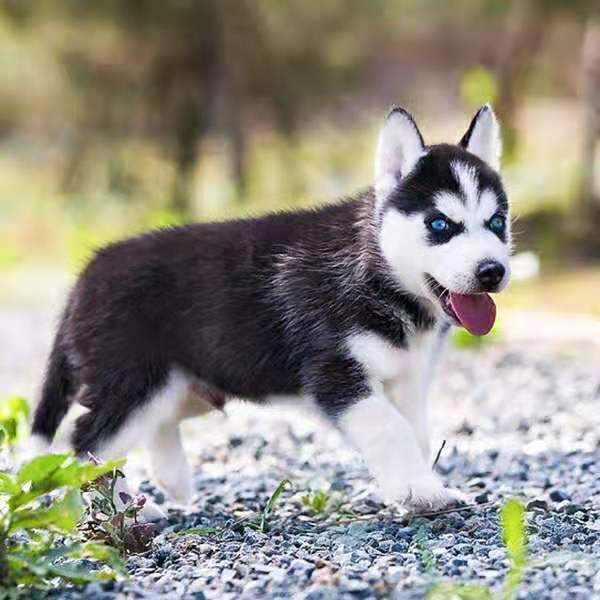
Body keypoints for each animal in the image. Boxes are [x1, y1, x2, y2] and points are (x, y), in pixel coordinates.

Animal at [30, 103, 510, 510]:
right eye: (440, 225)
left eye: (497, 223)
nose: (492, 271)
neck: (379, 274)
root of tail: (87, 273)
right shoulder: (334, 371)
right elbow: (389, 428)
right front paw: (422, 491)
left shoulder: (407, 379)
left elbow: (415, 433)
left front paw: (412, 483)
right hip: (134, 381)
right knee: (86, 443)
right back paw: (123, 508)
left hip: (180, 385)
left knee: (152, 426)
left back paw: (172, 480)